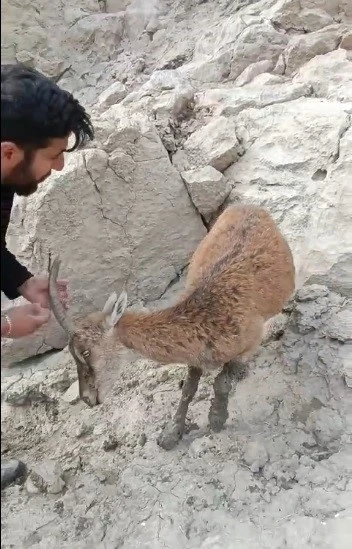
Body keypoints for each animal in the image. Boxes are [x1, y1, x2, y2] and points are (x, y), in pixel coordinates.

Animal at [48, 203, 294, 448]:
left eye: (85, 352)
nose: (88, 399)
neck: (207, 316)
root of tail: (247, 206)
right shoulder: (195, 357)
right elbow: (188, 389)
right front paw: (171, 434)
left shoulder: (247, 345)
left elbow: (221, 383)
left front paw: (216, 420)